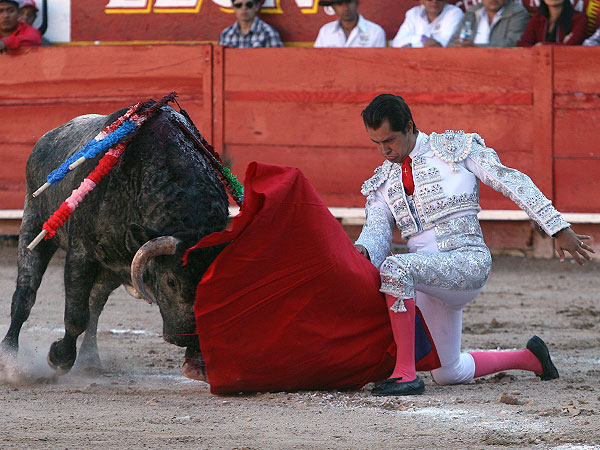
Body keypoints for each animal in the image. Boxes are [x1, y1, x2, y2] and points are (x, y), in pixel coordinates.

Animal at [0, 100, 229, 378]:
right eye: (171, 281)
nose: (187, 338)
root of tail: (45, 139)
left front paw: (197, 364)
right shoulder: (80, 253)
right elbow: (75, 315)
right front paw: (59, 357)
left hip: (112, 267)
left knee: (95, 302)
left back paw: (90, 359)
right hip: (34, 225)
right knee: (26, 293)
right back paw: (9, 358)